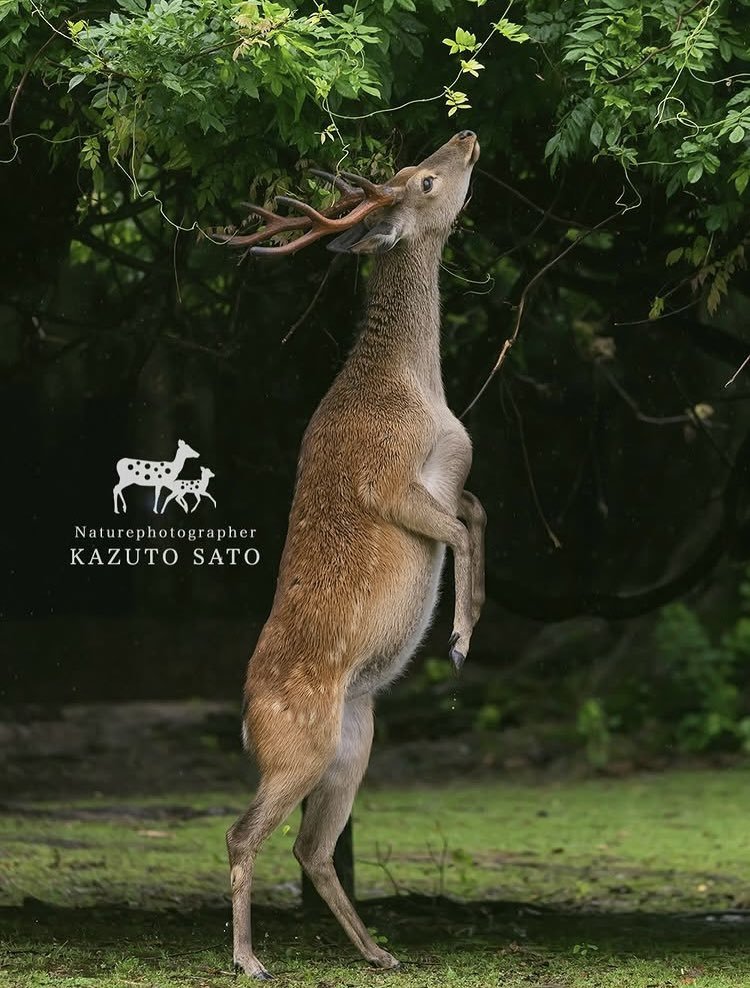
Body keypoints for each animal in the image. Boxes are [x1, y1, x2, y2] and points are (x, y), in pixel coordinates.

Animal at [220, 131, 486, 979]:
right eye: (426, 179)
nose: (466, 135)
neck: (419, 389)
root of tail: (247, 722)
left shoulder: (451, 475)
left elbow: (475, 513)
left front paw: (468, 624)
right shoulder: (389, 481)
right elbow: (459, 530)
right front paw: (460, 639)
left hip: (353, 742)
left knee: (311, 846)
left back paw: (379, 952)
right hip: (297, 748)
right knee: (244, 833)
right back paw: (250, 960)